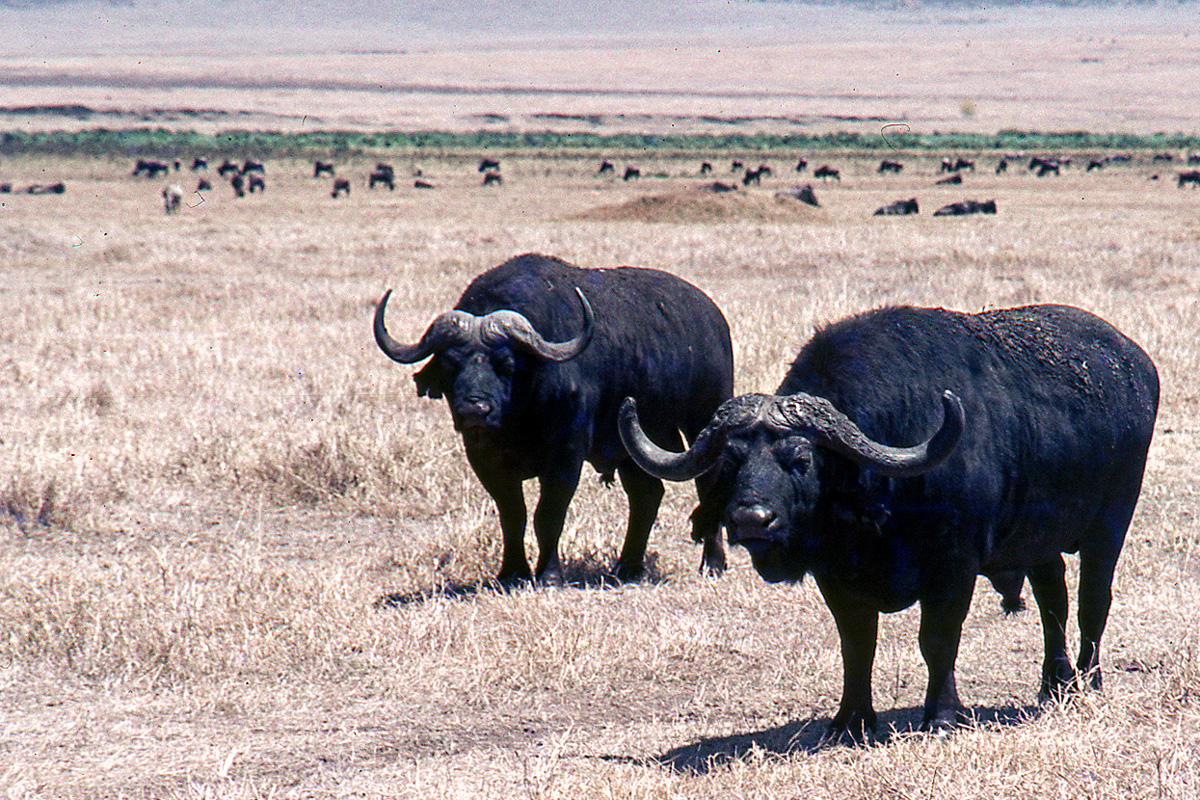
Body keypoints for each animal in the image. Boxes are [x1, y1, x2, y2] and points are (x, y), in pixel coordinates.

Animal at [374, 253, 734, 586]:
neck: (520, 415)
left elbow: (548, 515)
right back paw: (627, 567)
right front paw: (512, 573)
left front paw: (549, 575)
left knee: (707, 481)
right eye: (450, 363)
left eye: (506, 363)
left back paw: (712, 563)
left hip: (704, 418)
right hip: (636, 440)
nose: (474, 411)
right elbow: (512, 515)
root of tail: (713, 316)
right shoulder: (484, 459)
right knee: (646, 494)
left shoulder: (565, 456)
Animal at [620, 304, 1158, 738]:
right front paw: (850, 722)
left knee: (1092, 600)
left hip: (1111, 524)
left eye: (801, 459)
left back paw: (1089, 680)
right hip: (1039, 541)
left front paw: (941, 717)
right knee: (1053, 599)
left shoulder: (953, 568)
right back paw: (1054, 684)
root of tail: (1135, 363)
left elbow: (937, 641)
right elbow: (857, 644)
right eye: (732, 460)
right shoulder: (837, 577)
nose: (752, 520)